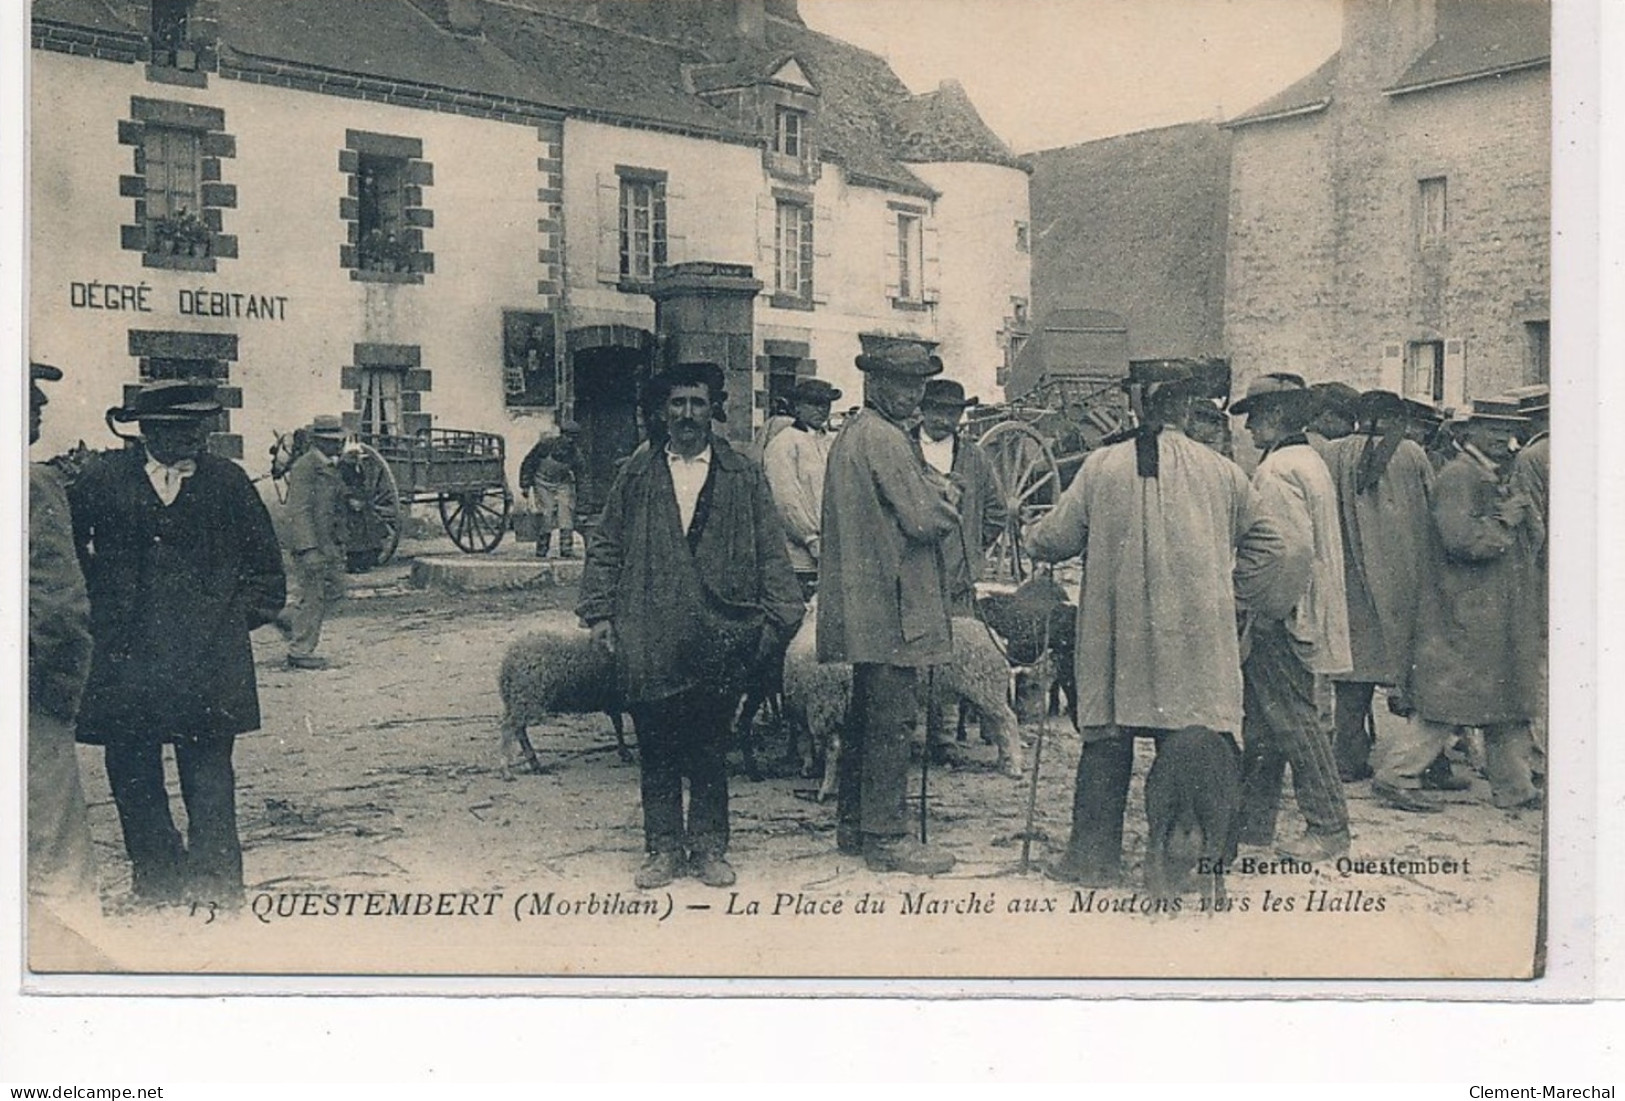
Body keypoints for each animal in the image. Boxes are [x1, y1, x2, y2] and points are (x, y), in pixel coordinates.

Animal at [494, 626, 627, 779]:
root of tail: (508, 664)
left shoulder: (614, 702)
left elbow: (618, 725)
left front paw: (624, 752)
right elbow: (619, 725)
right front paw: (626, 753)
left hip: (516, 700)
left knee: (518, 730)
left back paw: (534, 763)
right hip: (527, 698)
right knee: (509, 728)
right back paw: (506, 770)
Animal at [780, 607, 1020, 805]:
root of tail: (995, 637)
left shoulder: (814, 706)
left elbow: (806, 740)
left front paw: (809, 768)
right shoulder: (803, 706)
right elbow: (805, 739)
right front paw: (808, 766)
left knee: (1008, 721)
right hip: (983, 692)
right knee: (998, 725)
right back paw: (1003, 761)